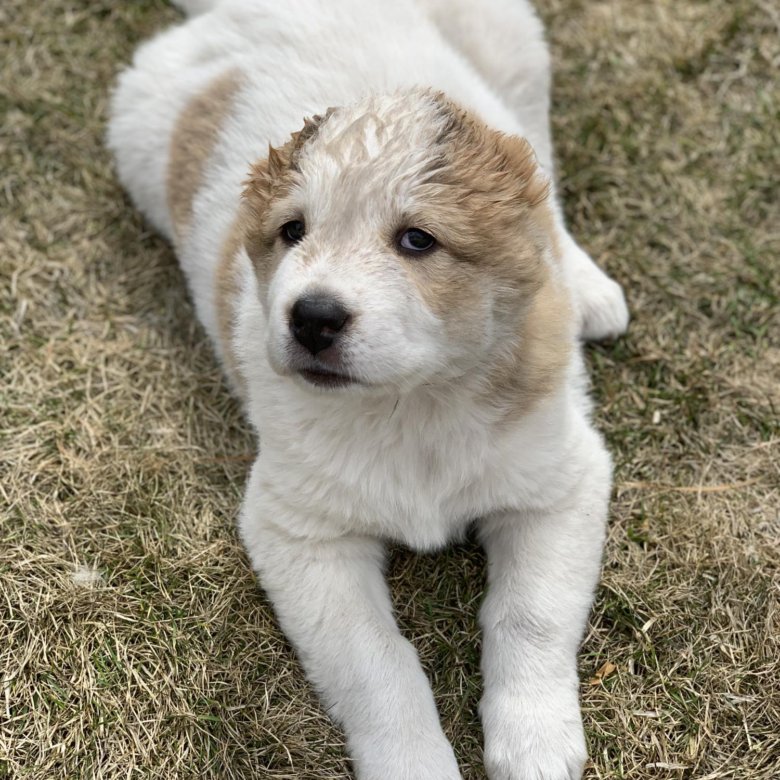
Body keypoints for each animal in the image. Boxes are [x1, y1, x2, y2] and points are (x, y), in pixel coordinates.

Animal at [108, 1, 628, 780]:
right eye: (292, 231)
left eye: (417, 241)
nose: (312, 318)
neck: (412, 404)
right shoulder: (302, 533)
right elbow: (375, 664)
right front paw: (416, 763)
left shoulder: (559, 485)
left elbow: (530, 616)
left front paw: (533, 740)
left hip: (512, 52)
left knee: (544, 191)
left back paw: (588, 287)